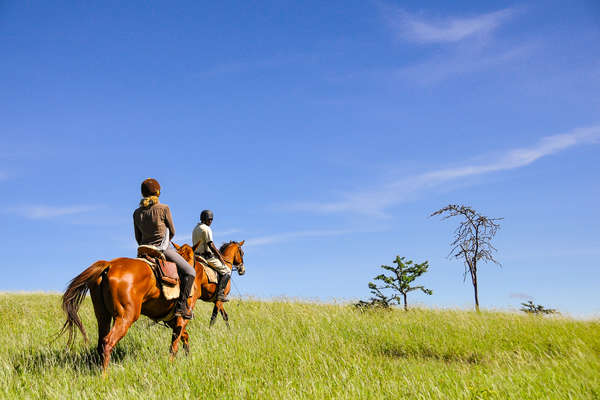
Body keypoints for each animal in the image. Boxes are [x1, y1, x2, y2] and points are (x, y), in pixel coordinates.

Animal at [59, 239, 246, 374]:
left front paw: (187, 358)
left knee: (100, 342)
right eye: (242, 252)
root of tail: (110, 264)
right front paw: (172, 364)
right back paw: (105, 375)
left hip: (103, 315)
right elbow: (176, 342)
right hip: (125, 317)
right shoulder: (185, 316)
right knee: (108, 342)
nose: (242, 269)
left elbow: (184, 337)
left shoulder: (172, 318)